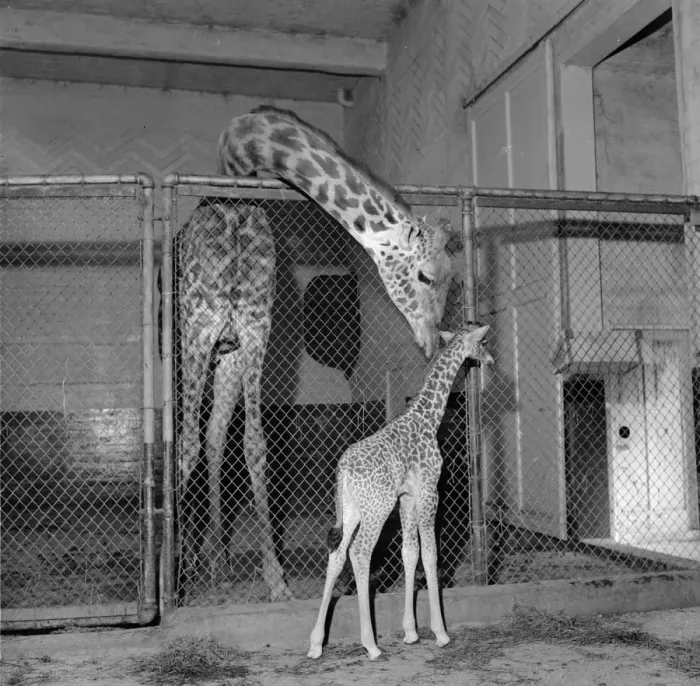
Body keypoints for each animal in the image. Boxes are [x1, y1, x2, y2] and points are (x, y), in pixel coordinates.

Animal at [308, 323, 493, 661]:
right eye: (483, 342)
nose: (492, 359)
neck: (428, 417)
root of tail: (343, 472)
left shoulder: (407, 498)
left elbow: (410, 552)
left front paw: (411, 632)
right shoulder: (430, 491)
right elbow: (431, 554)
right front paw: (441, 633)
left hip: (352, 510)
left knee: (337, 554)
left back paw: (316, 644)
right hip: (377, 508)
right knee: (360, 552)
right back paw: (371, 645)